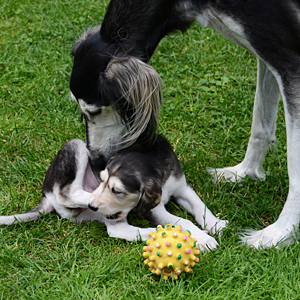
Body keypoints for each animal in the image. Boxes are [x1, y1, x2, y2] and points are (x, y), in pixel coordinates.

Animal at [0, 137, 226, 252]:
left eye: (117, 190)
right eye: (101, 179)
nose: (93, 205)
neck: (150, 161)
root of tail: (45, 195)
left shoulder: (181, 186)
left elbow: (199, 205)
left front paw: (214, 224)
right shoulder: (154, 208)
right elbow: (183, 221)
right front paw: (202, 238)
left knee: (119, 230)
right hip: (76, 146)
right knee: (66, 193)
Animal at [69, 0, 300, 248]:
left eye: (95, 110)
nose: (96, 161)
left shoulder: (286, 57)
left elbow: (294, 165)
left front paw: (280, 232)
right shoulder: (266, 52)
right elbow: (260, 123)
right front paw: (245, 172)